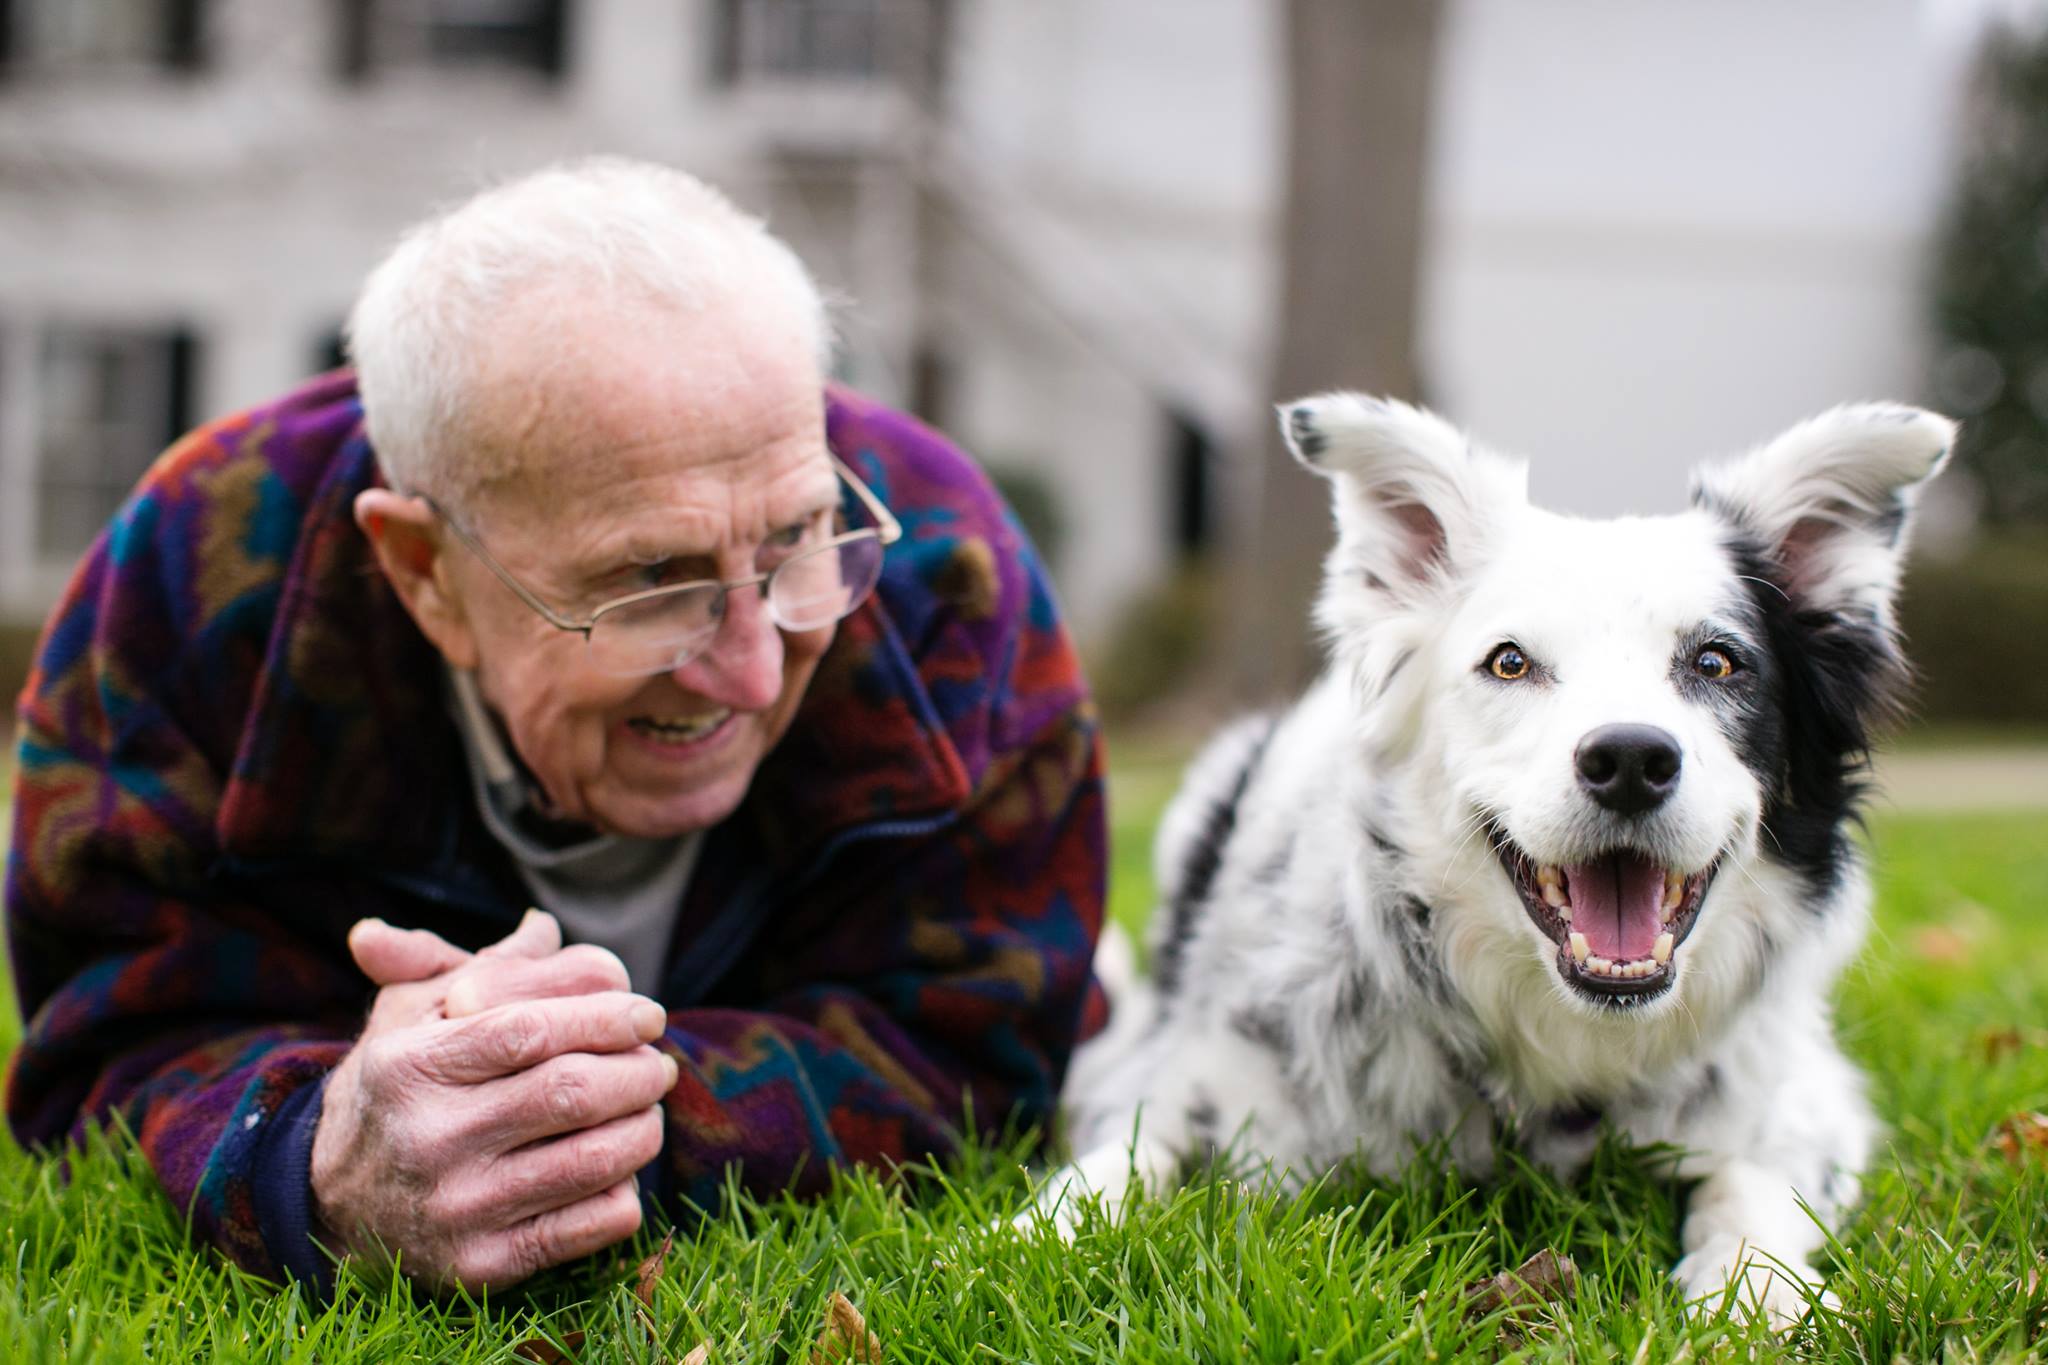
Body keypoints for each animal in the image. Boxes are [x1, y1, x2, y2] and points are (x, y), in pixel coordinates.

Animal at [1032, 392, 1957, 1326]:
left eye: (1716, 660)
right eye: (1510, 662)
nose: (1630, 759)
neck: (1557, 1037)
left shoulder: (1805, 1096)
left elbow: (1752, 1181)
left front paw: (1753, 1292)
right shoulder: (1173, 1077)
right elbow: (1117, 1165)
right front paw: (1020, 1234)